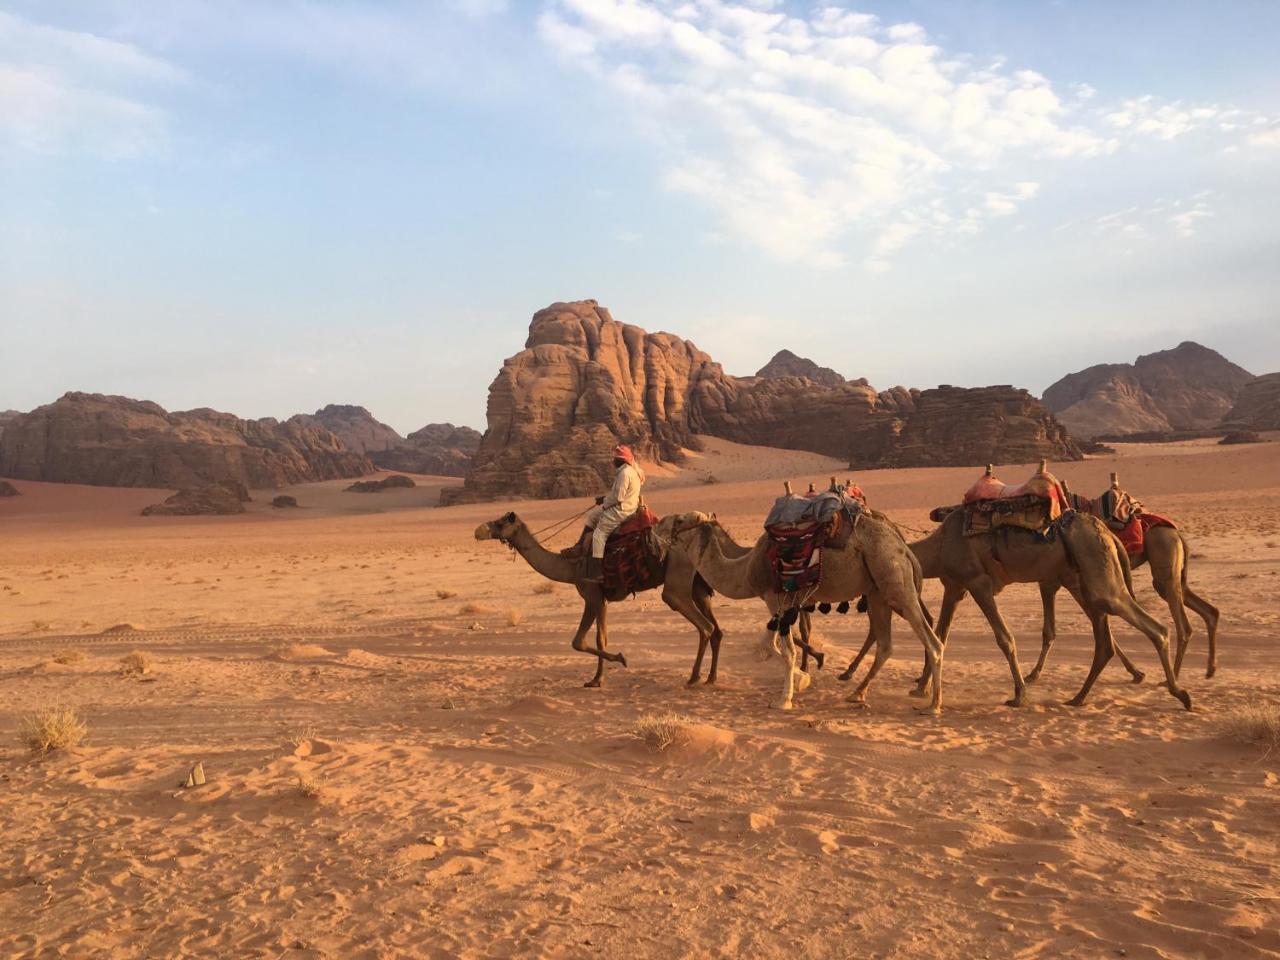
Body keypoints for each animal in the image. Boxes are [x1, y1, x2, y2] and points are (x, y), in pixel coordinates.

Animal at [476, 514, 732, 686]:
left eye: (501, 523)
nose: (479, 531)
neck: (571, 566)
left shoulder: (592, 596)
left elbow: (580, 642)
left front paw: (619, 660)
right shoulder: (604, 600)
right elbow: (602, 639)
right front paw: (597, 679)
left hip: (677, 580)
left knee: (703, 625)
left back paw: (694, 677)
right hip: (698, 584)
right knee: (716, 629)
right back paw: (711, 677)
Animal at [670, 514, 942, 711]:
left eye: (680, 520)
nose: (665, 527)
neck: (745, 568)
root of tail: (904, 547)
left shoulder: (775, 598)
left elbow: (786, 650)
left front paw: (784, 700)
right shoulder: (785, 603)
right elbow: (770, 644)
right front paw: (802, 679)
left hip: (894, 580)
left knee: (932, 641)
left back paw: (933, 705)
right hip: (877, 593)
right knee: (885, 645)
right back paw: (857, 693)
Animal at [839, 512, 1187, 716]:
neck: (937, 547)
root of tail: (1106, 531)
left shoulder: (977, 583)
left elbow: (1004, 638)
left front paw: (1020, 694)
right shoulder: (954, 585)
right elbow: (940, 634)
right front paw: (921, 688)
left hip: (1097, 574)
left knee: (1153, 627)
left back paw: (1179, 692)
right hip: (1083, 576)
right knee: (1104, 639)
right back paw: (1078, 698)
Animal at [1039, 519, 1218, 686]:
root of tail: (1178, 534)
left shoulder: (1069, 581)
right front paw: (1136, 673)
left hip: (1165, 558)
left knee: (1183, 626)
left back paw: (1171, 679)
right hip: (1173, 576)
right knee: (1209, 611)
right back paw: (1208, 670)